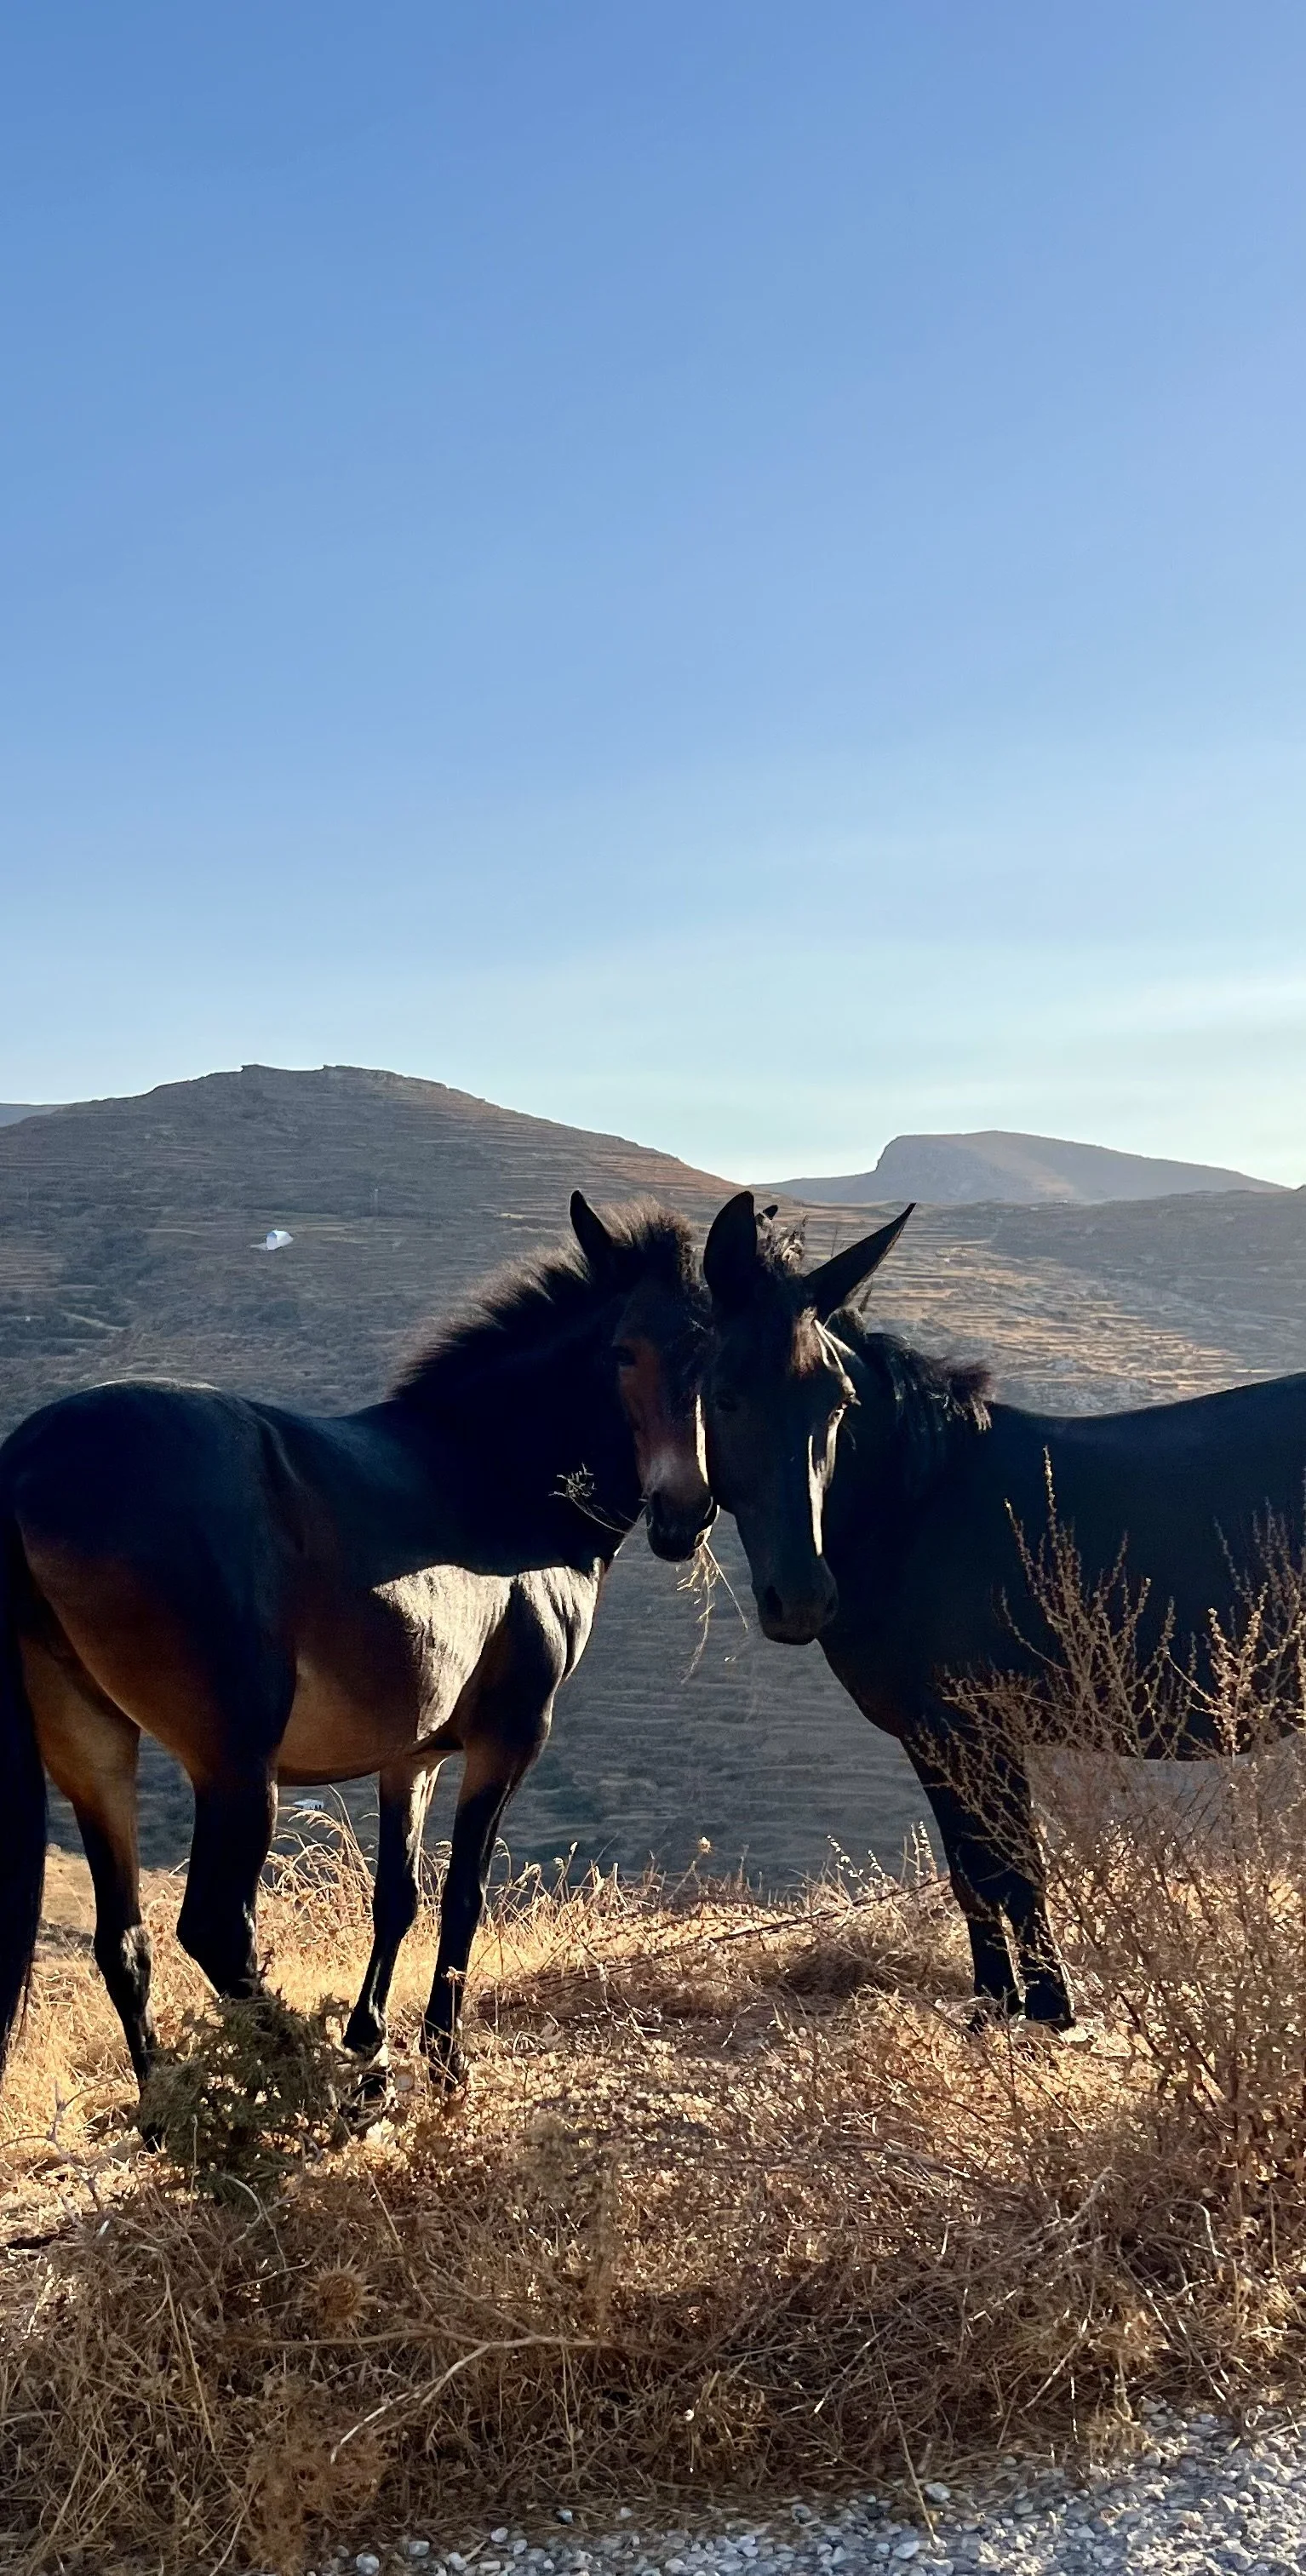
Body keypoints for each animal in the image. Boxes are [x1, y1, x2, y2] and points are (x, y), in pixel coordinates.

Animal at [0, 1194, 715, 2099]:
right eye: (622, 1350)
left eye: (708, 1354)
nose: (685, 1512)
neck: (494, 1475)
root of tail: (25, 1462)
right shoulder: (510, 1738)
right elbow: (465, 1893)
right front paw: (442, 2058)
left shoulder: (411, 1757)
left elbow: (397, 1895)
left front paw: (367, 2038)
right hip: (236, 1766)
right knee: (216, 1930)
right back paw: (326, 2092)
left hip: (90, 1746)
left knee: (124, 1944)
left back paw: (166, 2114)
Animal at [700, 1188, 1306, 2029]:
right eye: (724, 1395)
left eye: (839, 1402)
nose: (802, 1600)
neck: (914, 1507)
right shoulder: (933, 1738)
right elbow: (973, 1873)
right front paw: (994, 2006)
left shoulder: (979, 1728)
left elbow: (1015, 1868)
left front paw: (1048, 2009)